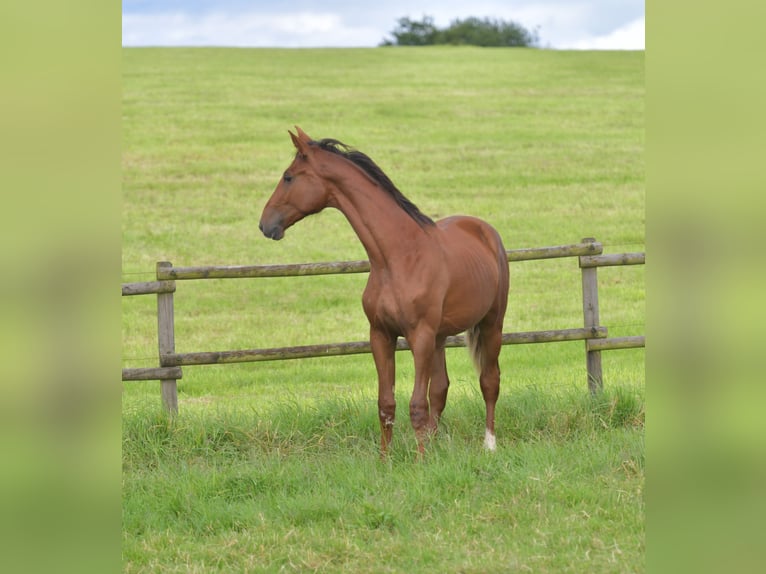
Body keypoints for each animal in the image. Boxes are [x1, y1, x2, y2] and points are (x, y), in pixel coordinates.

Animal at [260, 128, 510, 456]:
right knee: (441, 389)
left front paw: (420, 461)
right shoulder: (381, 335)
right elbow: (386, 404)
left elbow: (417, 404)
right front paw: (385, 458)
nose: (265, 224)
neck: (398, 257)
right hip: (440, 337)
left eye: (288, 177)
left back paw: (489, 444)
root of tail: (486, 231)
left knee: (489, 381)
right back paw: (435, 443)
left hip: (491, 324)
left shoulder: (419, 337)